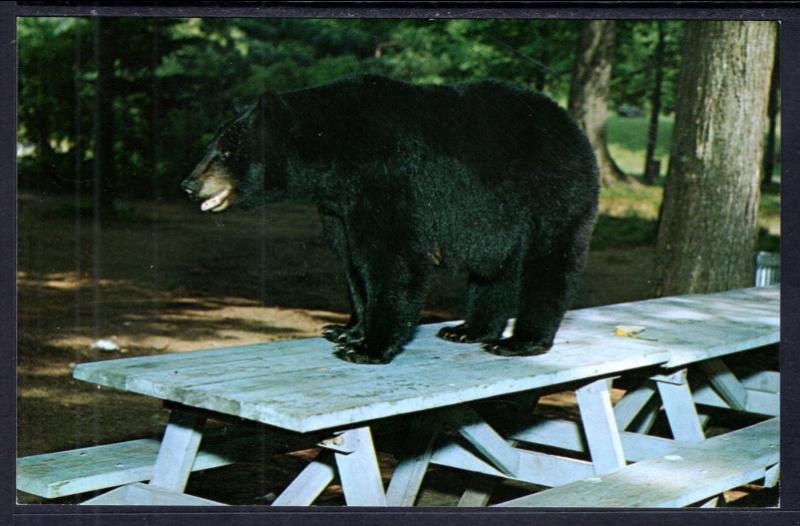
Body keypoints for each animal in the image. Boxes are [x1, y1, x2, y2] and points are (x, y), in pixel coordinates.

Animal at [180, 76, 592, 368]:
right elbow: (351, 261)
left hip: (551, 196)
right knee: (495, 271)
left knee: (548, 264)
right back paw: (468, 330)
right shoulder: (338, 207)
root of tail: (571, 125)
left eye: (228, 152)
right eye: (211, 147)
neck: (332, 151)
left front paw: (368, 347)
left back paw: (522, 340)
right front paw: (346, 330)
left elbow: (391, 259)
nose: (188, 185)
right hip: (499, 222)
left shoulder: (388, 178)